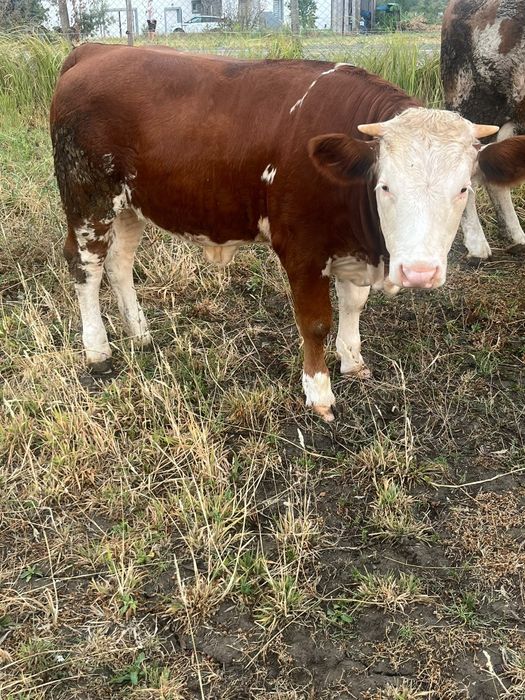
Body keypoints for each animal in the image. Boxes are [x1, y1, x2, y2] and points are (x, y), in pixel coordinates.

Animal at [50, 44, 525, 421]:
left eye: (463, 188)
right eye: (385, 186)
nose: (420, 272)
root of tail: (96, 50)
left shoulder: (353, 249)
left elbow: (353, 305)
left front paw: (353, 360)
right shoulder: (301, 250)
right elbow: (315, 322)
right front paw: (319, 392)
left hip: (129, 204)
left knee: (120, 264)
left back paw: (139, 332)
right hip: (87, 198)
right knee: (86, 267)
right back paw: (98, 350)